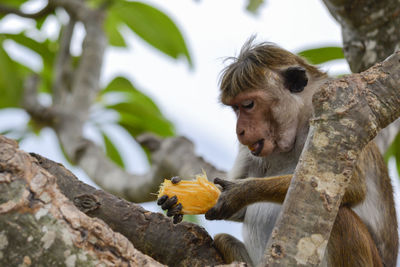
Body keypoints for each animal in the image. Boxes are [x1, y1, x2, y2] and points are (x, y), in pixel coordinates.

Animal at [158, 38, 398, 266]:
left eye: (248, 104)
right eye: (235, 108)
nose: (240, 131)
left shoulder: (338, 117)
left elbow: (351, 187)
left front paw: (241, 191)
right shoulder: (249, 151)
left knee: (340, 216)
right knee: (223, 239)